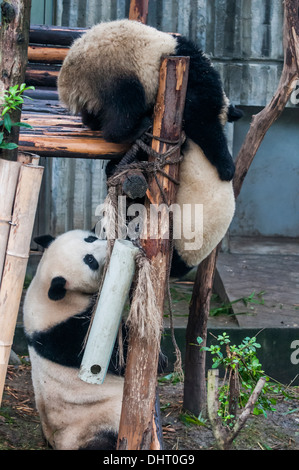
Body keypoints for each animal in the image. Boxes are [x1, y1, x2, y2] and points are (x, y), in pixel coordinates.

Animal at [21, 229, 123, 450]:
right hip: (95, 421)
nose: (109, 244)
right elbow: (112, 353)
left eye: (90, 238)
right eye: (90, 260)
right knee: (103, 439)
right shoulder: (62, 330)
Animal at [58, 20, 241, 272]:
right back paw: (137, 127)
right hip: (113, 72)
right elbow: (202, 121)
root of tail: (68, 83)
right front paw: (227, 168)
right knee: (124, 109)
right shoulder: (197, 84)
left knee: (98, 117)